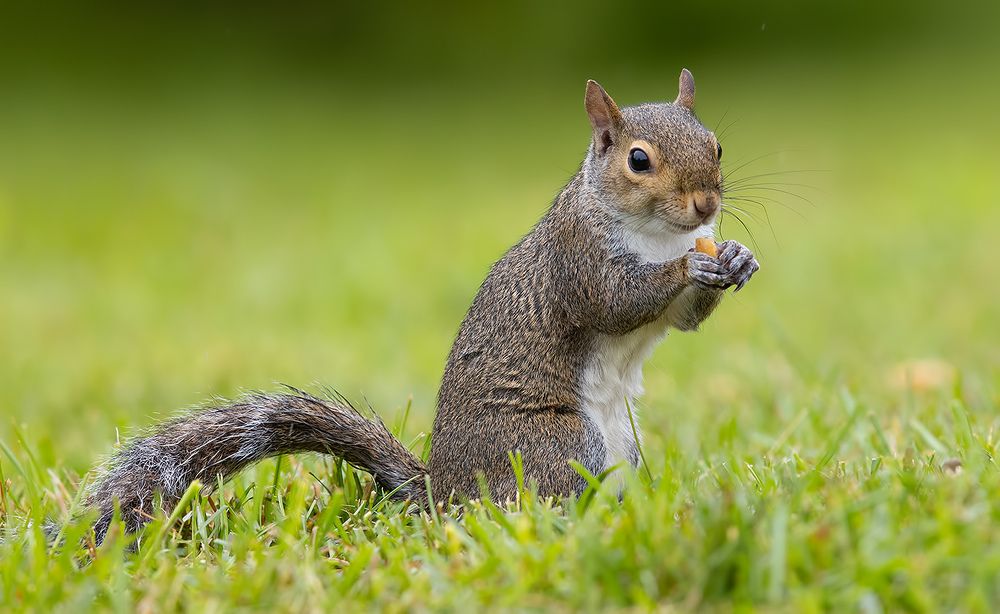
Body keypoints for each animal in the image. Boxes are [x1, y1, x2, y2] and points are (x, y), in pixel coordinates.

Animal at [83, 69, 758, 541]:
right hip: (561, 446)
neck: (656, 233)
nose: (706, 204)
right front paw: (690, 267)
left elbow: (684, 318)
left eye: (718, 145)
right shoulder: (579, 262)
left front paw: (735, 257)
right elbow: (620, 301)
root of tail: (443, 493)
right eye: (638, 160)